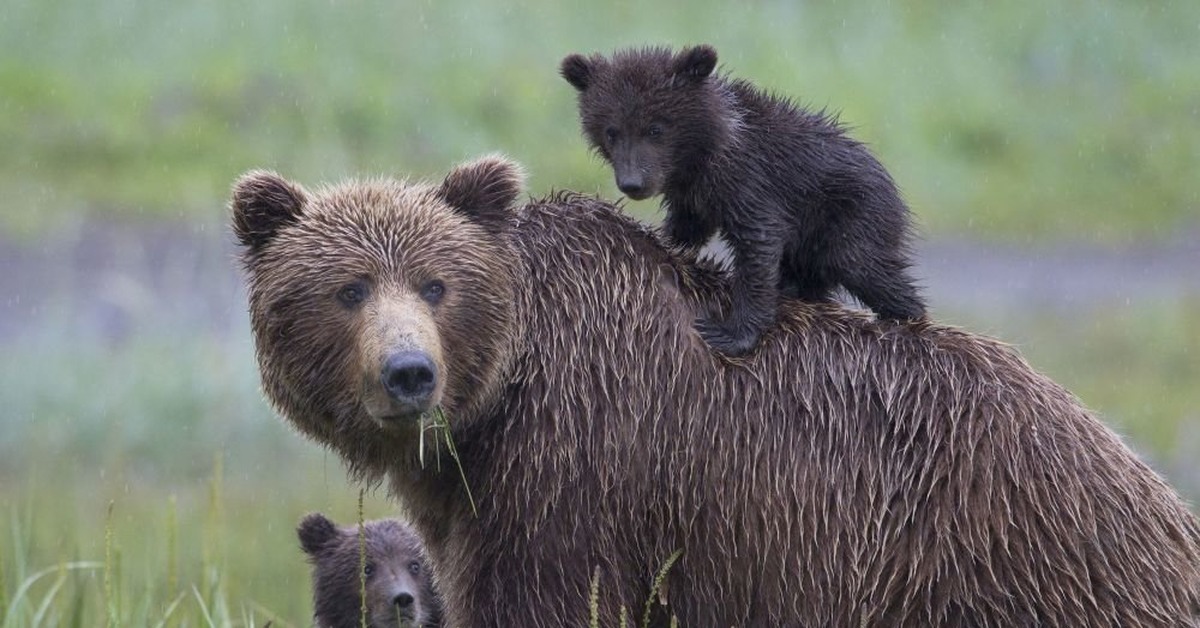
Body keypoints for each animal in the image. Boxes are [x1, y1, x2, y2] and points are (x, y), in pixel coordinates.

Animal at [231, 156, 1200, 624]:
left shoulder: (574, 472)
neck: (499, 401)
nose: (409, 373)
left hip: (1003, 558)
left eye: (436, 285)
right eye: (349, 288)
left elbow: (546, 599)